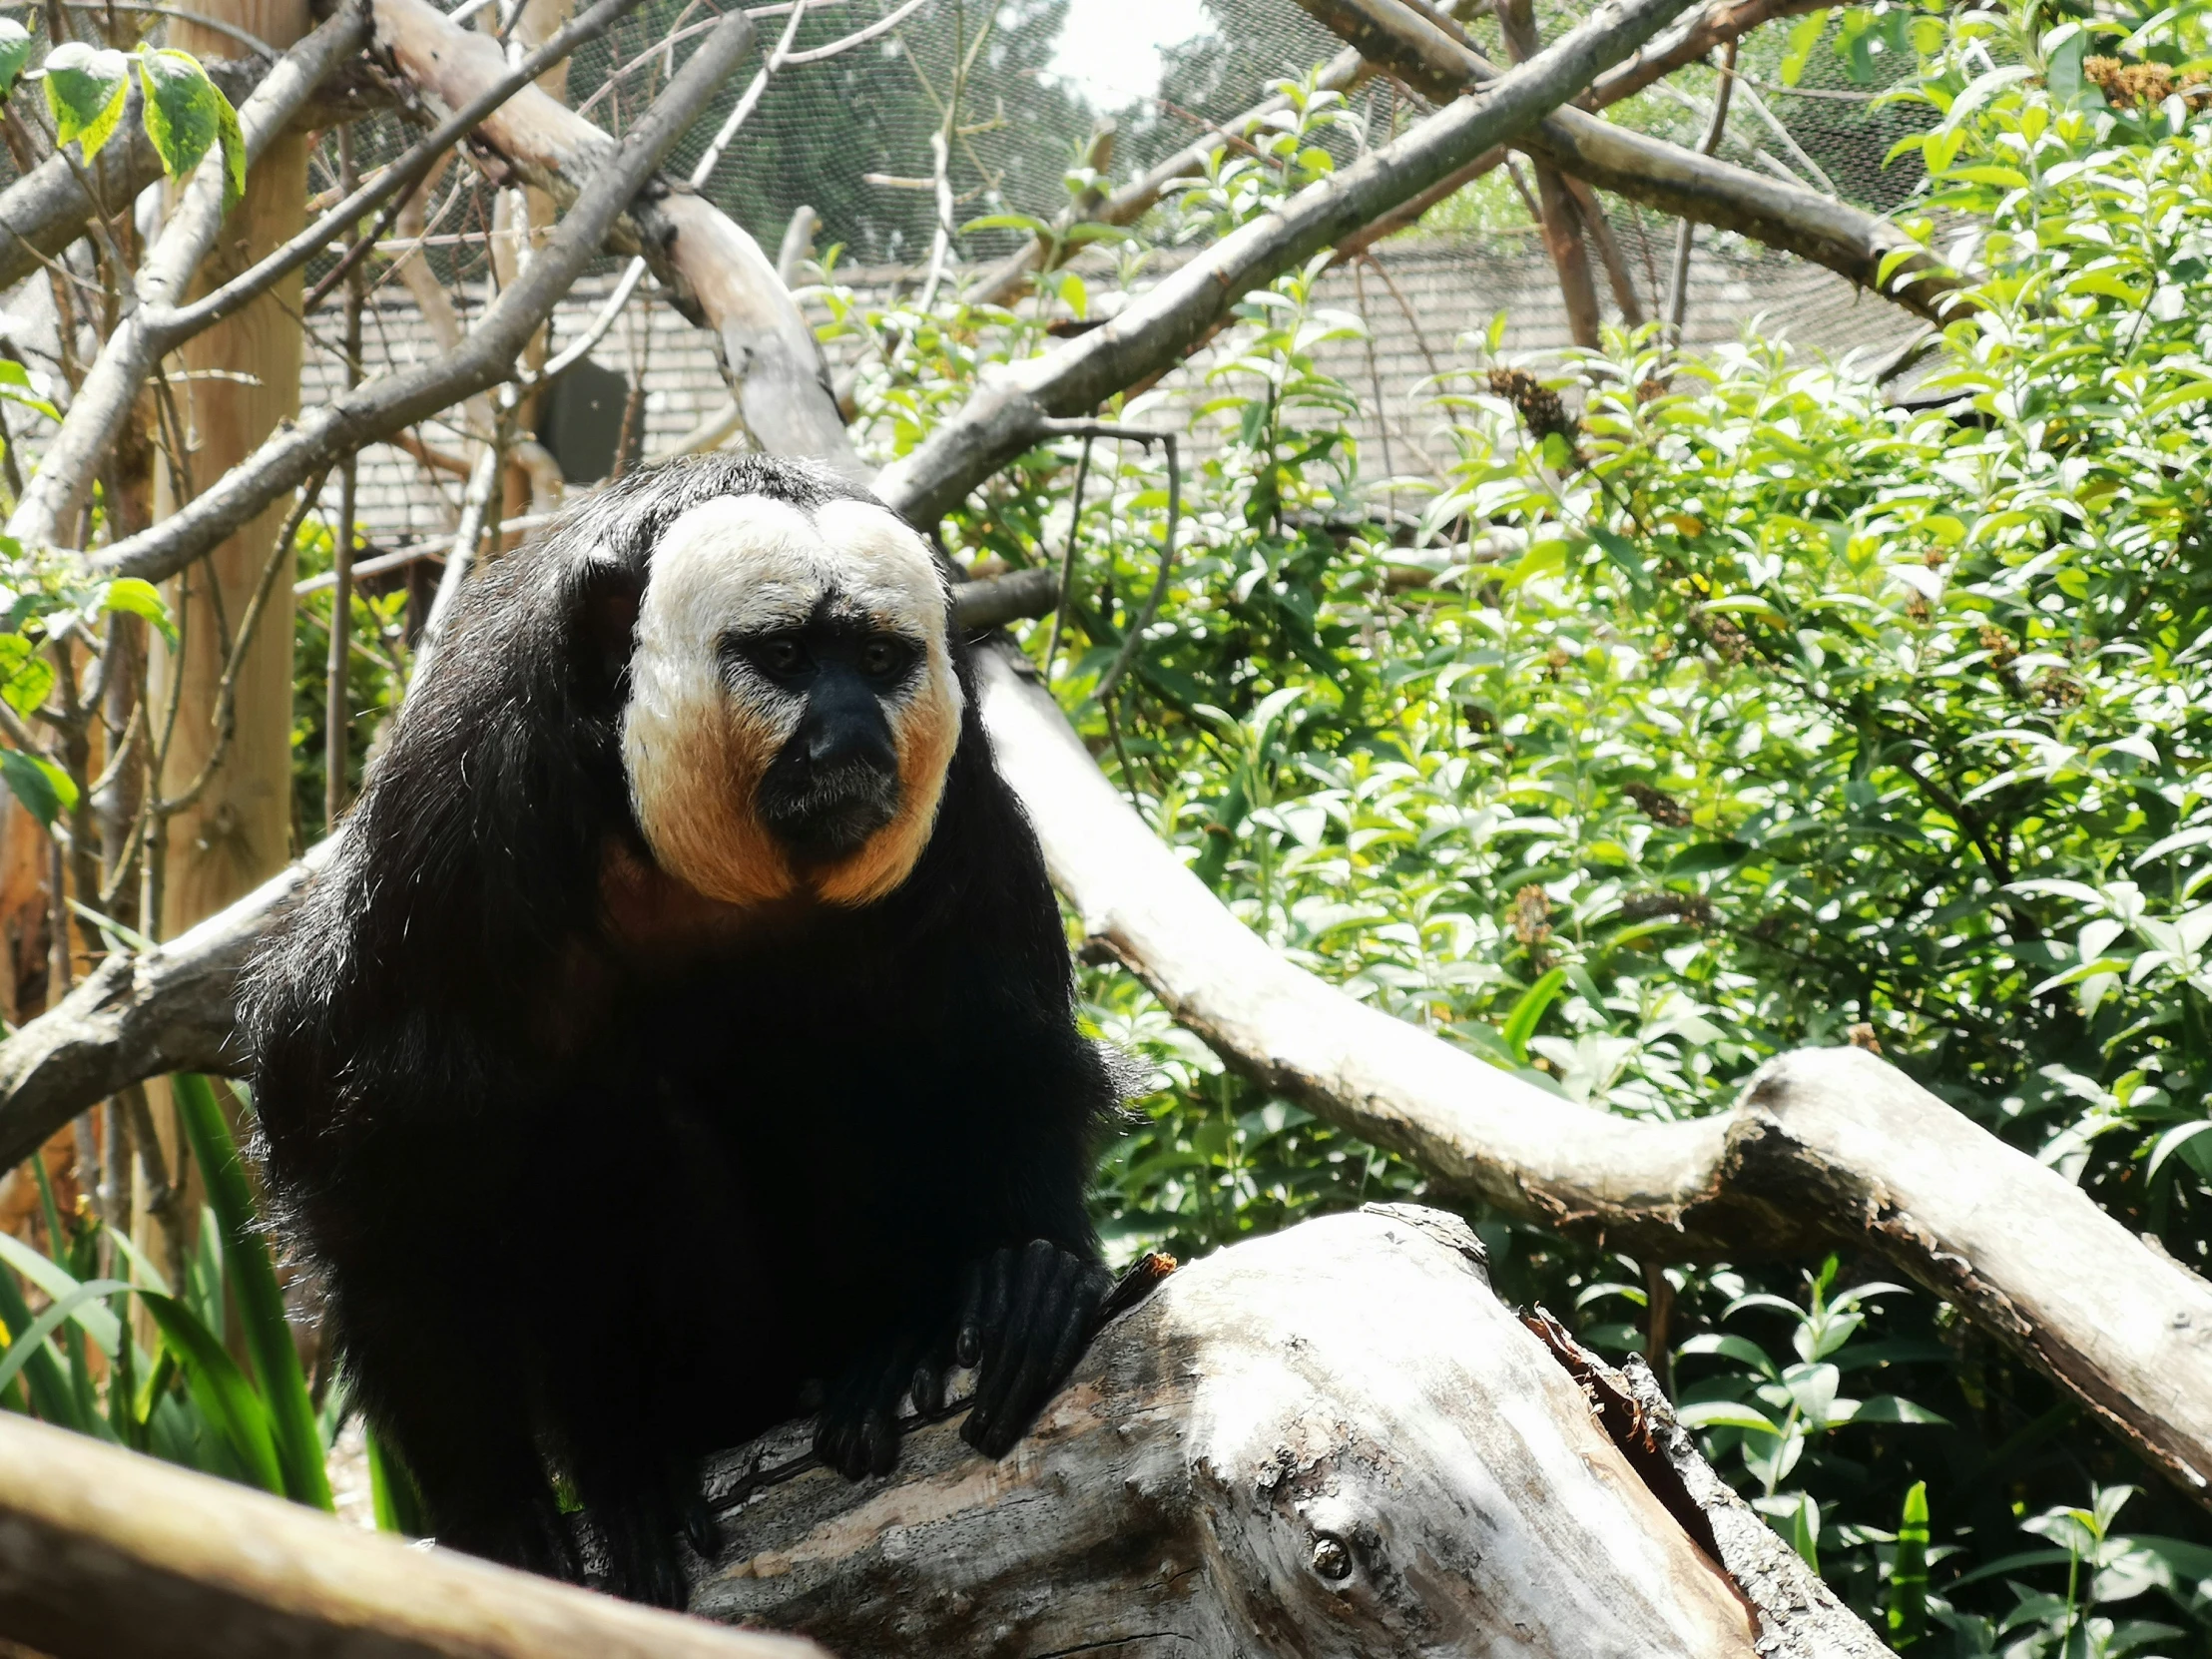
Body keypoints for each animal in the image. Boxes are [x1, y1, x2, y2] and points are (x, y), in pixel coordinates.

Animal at [247, 455, 1123, 1610]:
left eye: (878, 662)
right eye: (785, 658)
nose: (854, 735)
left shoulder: (960, 802)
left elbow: (997, 1052)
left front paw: (1031, 1279)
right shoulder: (457, 820)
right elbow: (374, 1159)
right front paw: (498, 1506)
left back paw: (892, 1351)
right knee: (615, 1118)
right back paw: (639, 1455)